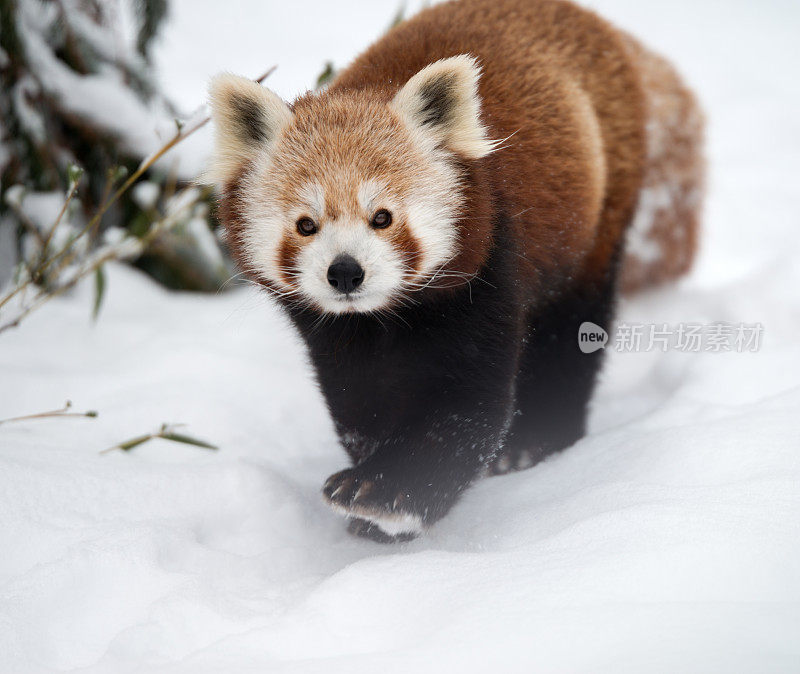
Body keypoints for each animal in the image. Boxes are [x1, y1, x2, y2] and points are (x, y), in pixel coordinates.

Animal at [209, 0, 704, 540]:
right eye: (306, 225)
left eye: (382, 217)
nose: (345, 273)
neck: (383, 318)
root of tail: (590, 19)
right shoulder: (333, 333)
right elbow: (359, 401)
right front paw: (374, 481)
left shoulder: (488, 270)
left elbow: (468, 406)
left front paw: (386, 493)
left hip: (597, 215)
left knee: (571, 331)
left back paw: (538, 438)